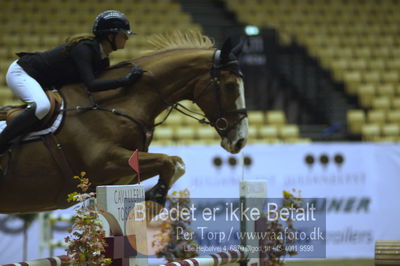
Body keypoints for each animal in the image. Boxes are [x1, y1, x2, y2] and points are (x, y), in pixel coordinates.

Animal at [0, 31, 248, 214]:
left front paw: (152, 198)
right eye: (230, 85)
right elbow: (170, 162)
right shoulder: (103, 161)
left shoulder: (123, 169)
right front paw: (154, 198)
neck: (122, 102)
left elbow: (175, 163)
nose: (240, 141)